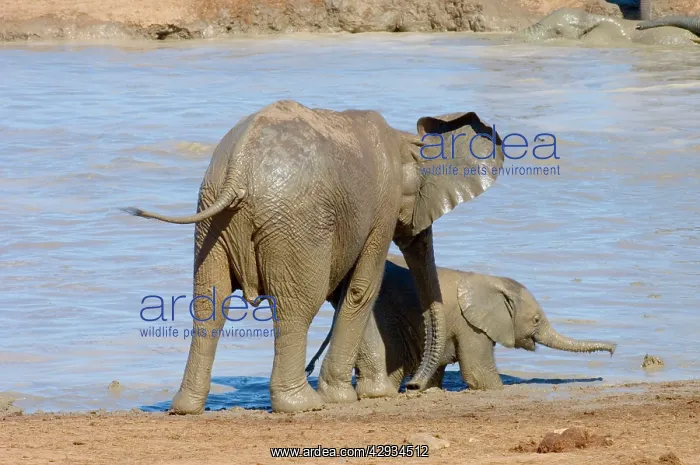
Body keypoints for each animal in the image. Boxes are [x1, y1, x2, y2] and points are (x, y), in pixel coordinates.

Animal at [123, 100, 504, 413]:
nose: (413, 388)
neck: (402, 141)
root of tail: (239, 166)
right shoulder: (381, 208)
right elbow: (362, 289)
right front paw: (360, 396)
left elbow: (347, 292)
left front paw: (371, 393)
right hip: (296, 222)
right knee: (297, 306)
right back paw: (302, 404)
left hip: (212, 222)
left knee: (209, 304)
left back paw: (185, 408)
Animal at [306, 254, 616, 395]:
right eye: (536, 320)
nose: (614, 349)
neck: (492, 282)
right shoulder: (472, 327)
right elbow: (479, 374)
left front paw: (426, 389)